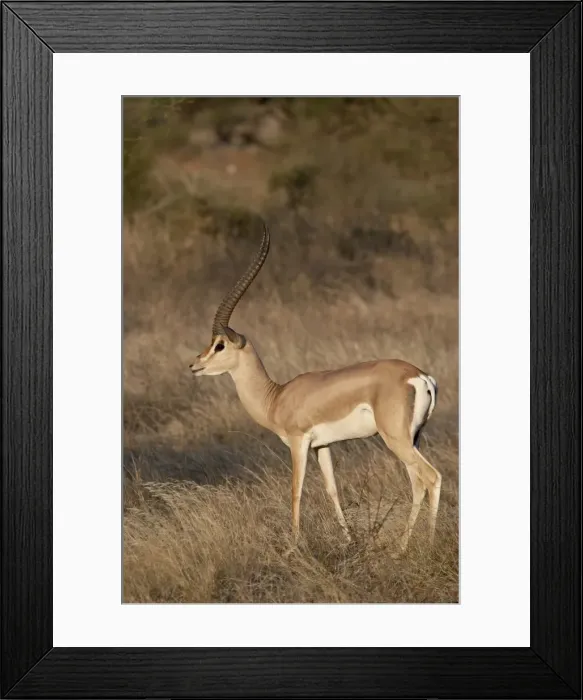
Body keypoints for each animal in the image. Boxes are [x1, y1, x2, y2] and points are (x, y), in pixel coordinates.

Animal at [190, 223, 441, 553]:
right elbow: (332, 488)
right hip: (413, 439)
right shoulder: (323, 446)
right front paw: (349, 540)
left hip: (396, 439)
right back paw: (402, 548)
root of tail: (420, 376)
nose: (194, 364)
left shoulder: (299, 442)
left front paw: (292, 547)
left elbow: (295, 490)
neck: (276, 397)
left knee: (431, 477)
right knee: (417, 483)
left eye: (219, 344)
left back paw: (423, 545)